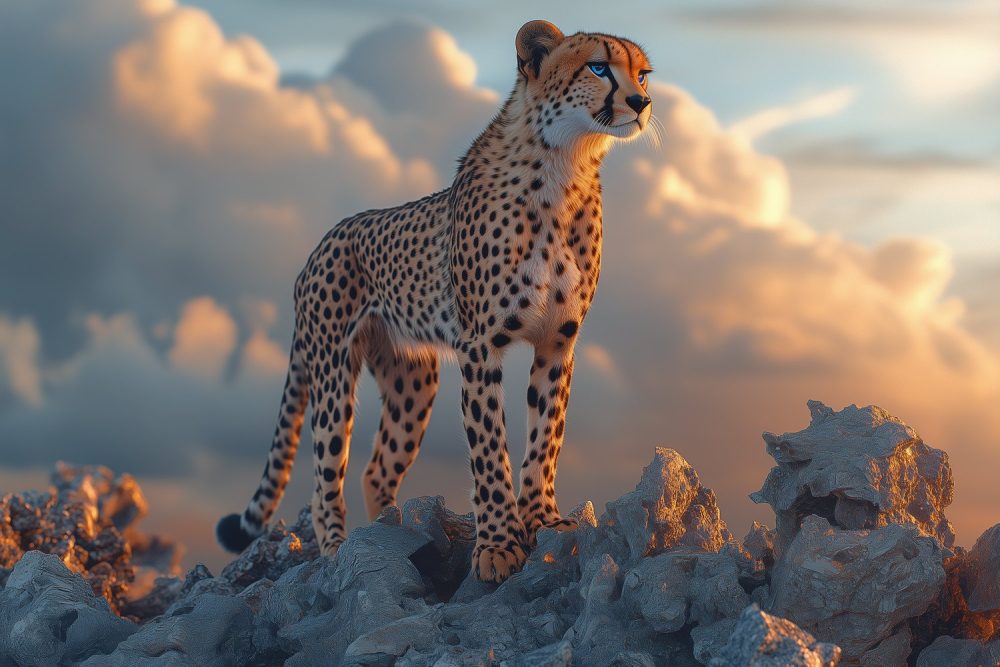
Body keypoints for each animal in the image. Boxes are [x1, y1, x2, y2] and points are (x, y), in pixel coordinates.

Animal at [217, 20, 653, 583]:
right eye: (599, 67)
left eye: (642, 74)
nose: (642, 102)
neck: (565, 164)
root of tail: (321, 242)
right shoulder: (480, 345)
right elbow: (490, 449)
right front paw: (497, 546)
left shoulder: (558, 342)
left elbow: (546, 435)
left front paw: (543, 518)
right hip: (333, 371)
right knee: (325, 472)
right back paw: (337, 549)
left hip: (412, 383)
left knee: (377, 468)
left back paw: (392, 533)